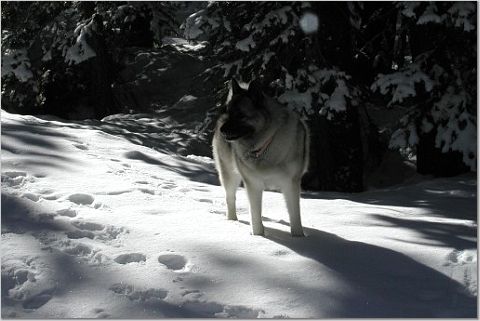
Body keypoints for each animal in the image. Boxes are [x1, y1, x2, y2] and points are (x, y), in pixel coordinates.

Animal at [212, 79, 310, 236]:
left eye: (240, 115)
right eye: (229, 113)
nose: (222, 130)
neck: (264, 144)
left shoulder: (291, 183)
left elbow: (295, 214)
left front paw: (298, 236)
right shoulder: (253, 184)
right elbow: (255, 213)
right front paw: (258, 235)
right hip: (229, 175)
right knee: (230, 198)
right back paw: (232, 220)